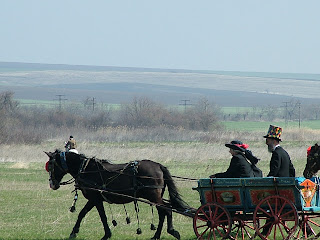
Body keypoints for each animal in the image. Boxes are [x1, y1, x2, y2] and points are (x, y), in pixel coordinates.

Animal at [45, 149, 188, 239]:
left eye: (51, 166)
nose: (52, 184)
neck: (85, 169)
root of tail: (158, 166)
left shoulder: (95, 199)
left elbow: (101, 216)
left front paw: (106, 235)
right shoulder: (93, 199)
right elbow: (83, 213)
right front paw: (74, 232)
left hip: (153, 195)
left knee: (166, 210)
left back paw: (171, 231)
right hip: (155, 196)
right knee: (163, 211)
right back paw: (156, 235)